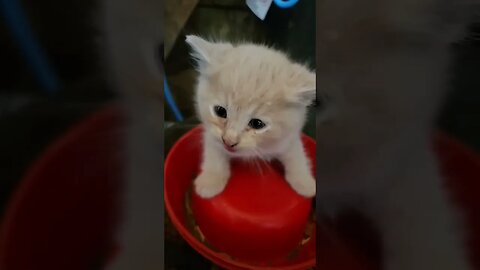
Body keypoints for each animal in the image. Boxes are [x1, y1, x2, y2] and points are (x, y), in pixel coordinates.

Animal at [186, 35, 316, 198]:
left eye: (257, 124)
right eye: (220, 111)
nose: (229, 141)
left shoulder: (289, 138)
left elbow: (297, 155)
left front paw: (304, 182)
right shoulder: (211, 133)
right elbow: (214, 152)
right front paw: (210, 180)